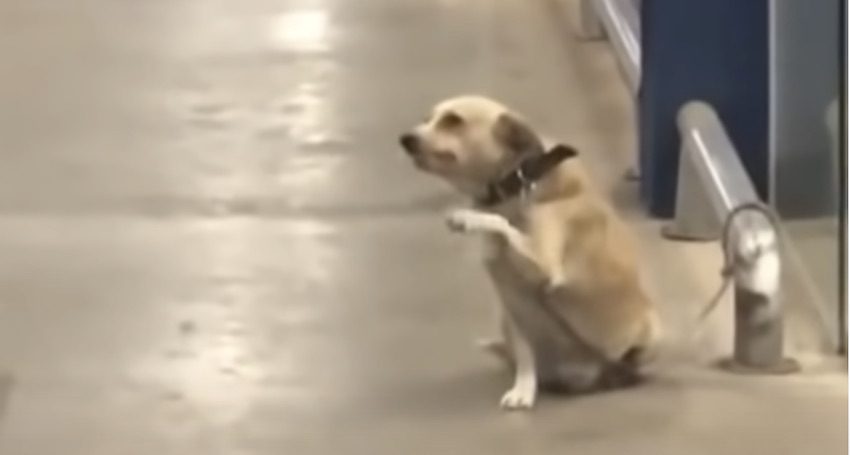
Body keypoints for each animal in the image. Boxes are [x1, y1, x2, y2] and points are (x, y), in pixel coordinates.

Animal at [400, 95, 660, 410]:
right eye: (427, 119)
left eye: (453, 121)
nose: (406, 139)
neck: (514, 187)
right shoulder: (513, 304)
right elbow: (525, 357)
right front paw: (523, 389)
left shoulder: (545, 267)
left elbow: (501, 225)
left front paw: (467, 218)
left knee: (629, 363)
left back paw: (620, 374)